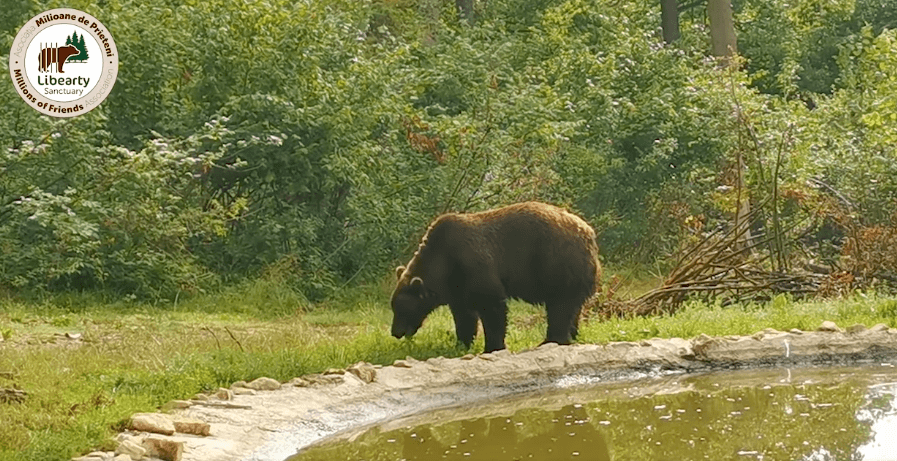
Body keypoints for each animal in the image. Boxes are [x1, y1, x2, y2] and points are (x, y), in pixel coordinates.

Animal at [390, 201, 601, 352]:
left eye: (401, 309)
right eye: (394, 307)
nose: (395, 332)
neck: (443, 264)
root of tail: (589, 232)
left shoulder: (474, 265)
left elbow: (491, 307)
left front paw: (492, 346)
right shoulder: (457, 286)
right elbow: (464, 315)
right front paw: (462, 343)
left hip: (558, 264)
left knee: (560, 307)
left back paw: (552, 340)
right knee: (572, 308)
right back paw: (571, 335)